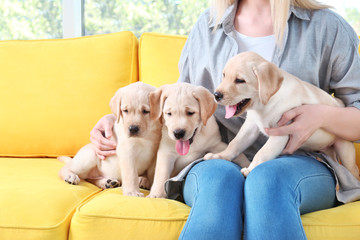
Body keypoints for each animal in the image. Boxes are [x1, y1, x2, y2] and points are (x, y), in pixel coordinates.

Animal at [205, 52, 360, 180]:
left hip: (345, 150)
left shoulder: (281, 134)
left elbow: (262, 153)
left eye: (239, 80)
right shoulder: (250, 127)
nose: (216, 95)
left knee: (353, 171)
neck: (265, 105)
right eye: (224, 75)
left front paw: (250, 168)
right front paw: (220, 155)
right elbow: (235, 144)